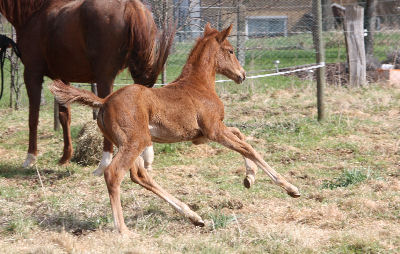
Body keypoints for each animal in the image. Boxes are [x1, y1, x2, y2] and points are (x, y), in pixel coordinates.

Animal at [0, 0, 175, 169]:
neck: (34, 13)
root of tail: (131, 6)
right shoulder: (62, 78)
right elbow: (64, 116)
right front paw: (65, 157)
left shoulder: (32, 73)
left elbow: (33, 117)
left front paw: (30, 158)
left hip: (104, 77)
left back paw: (104, 163)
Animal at [50, 24, 300, 233]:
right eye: (230, 50)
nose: (242, 75)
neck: (199, 85)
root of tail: (103, 102)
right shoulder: (213, 130)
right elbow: (248, 147)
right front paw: (290, 187)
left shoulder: (202, 135)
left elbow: (241, 136)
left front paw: (249, 178)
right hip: (135, 142)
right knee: (114, 174)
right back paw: (123, 230)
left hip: (132, 143)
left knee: (140, 176)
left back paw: (194, 216)